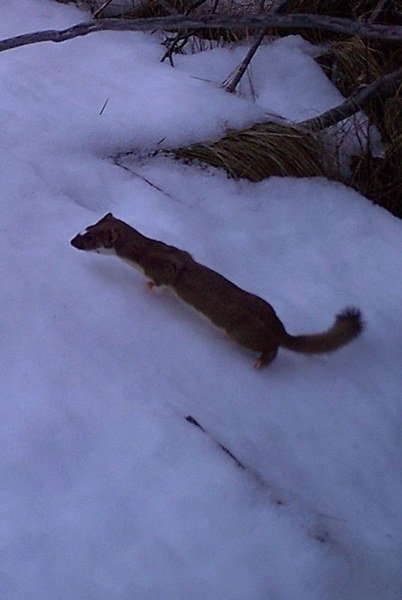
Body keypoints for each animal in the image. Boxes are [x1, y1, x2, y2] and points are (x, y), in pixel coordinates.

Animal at [70, 213, 362, 368]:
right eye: (84, 228)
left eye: (89, 238)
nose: (71, 241)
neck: (150, 249)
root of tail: (277, 326)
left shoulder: (163, 267)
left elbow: (162, 281)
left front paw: (149, 287)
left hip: (242, 332)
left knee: (271, 348)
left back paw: (259, 362)